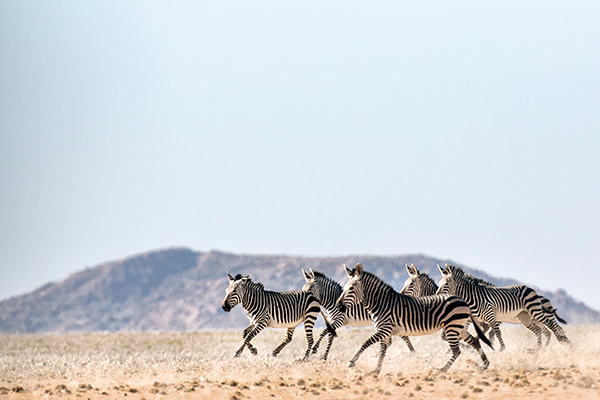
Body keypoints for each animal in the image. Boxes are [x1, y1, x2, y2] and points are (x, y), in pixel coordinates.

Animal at [336, 262, 490, 376]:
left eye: (351, 288)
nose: (338, 305)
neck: (381, 303)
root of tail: (463, 300)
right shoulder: (385, 332)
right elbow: (382, 351)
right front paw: (376, 370)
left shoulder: (385, 329)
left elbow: (366, 342)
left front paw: (352, 361)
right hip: (459, 327)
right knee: (475, 341)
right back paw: (485, 365)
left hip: (452, 328)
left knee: (457, 351)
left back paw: (442, 370)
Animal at [434, 264, 568, 352]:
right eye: (439, 284)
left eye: (446, 284)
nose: (436, 296)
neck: (472, 298)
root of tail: (531, 289)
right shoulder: (472, 318)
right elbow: (482, 333)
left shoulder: (490, 315)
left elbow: (496, 331)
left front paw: (501, 348)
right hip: (525, 317)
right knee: (539, 330)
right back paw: (539, 348)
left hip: (536, 312)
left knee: (552, 325)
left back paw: (563, 341)